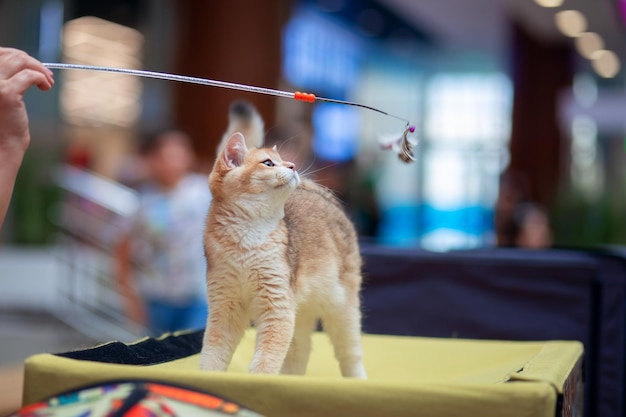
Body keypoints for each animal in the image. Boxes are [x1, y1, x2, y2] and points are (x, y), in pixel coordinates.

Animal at [200, 101, 366, 376]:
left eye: (282, 161)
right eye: (268, 163)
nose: (293, 166)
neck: (245, 242)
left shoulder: (276, 309)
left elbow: (265, 361)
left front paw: (258, 381)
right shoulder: (224, 307)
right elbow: (212, 355)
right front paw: (207, 376)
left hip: (342, 307)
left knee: (350, 353)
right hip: (300, 312)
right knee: (300, 350)